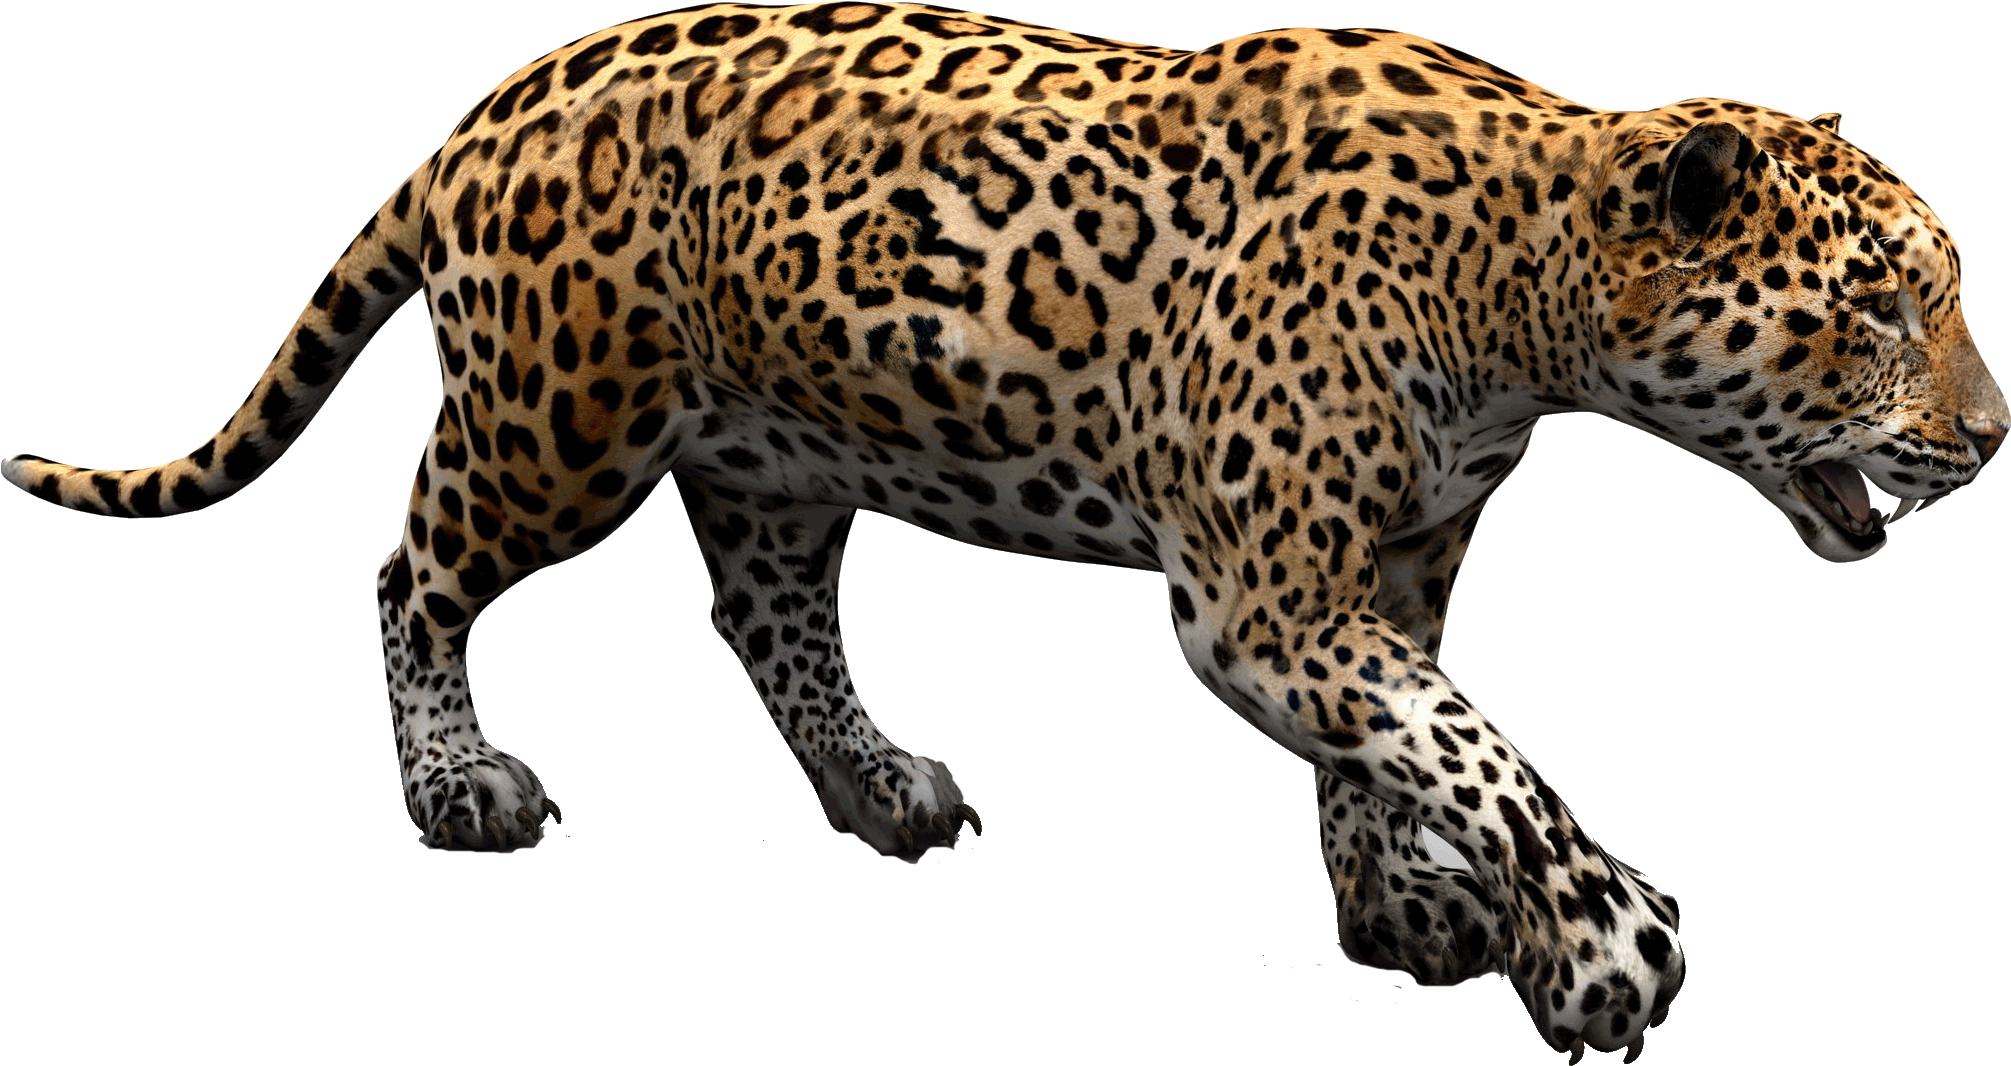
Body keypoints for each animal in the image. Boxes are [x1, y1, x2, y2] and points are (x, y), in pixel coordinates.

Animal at [6, 4, 2002, 1060]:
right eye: (1878, 308)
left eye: (1937, 296)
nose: (1993, 440)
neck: (1519, 290)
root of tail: (494, 102)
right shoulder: (1264, 599)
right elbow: (1475, 748)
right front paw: (1596, 952)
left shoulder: (1392, 567)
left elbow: (1392, 747)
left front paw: (1403, 912)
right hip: (549, 426)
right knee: (407, 571)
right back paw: (459, 787)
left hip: (778, 459)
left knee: (766, 617)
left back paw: (880, 784)